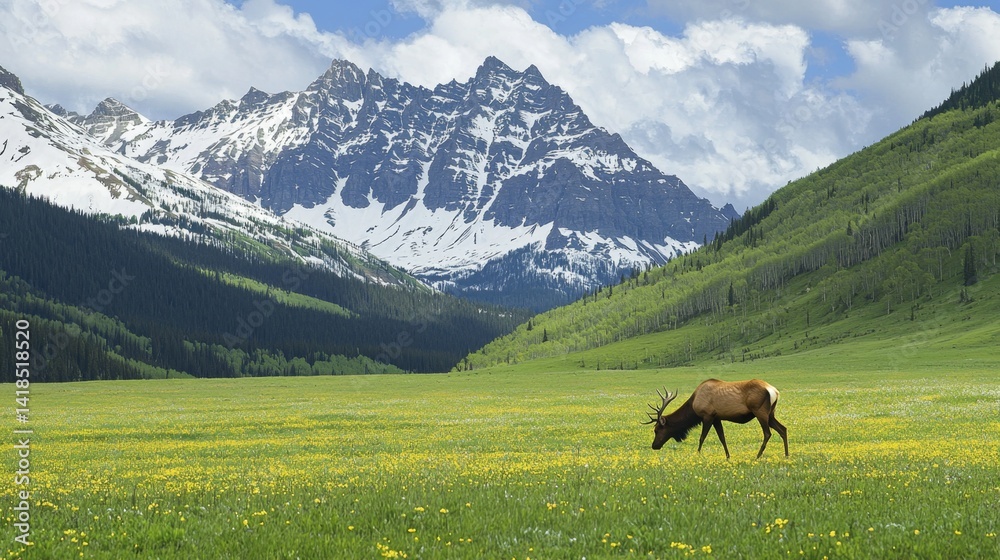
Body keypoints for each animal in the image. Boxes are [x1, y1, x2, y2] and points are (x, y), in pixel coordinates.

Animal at [643, 379, 788, 459]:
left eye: (657, 430)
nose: (654, 445)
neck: (693, 406)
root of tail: (775, 391)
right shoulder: (717, 418)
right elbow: (722, 438)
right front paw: (728, 456)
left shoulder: (707, 415)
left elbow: (702, 438)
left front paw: (698, 454)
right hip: (771, 414)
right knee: (783, 429)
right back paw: (786, 455)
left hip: (760, 411)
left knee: (767, 433)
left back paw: (757, 456)